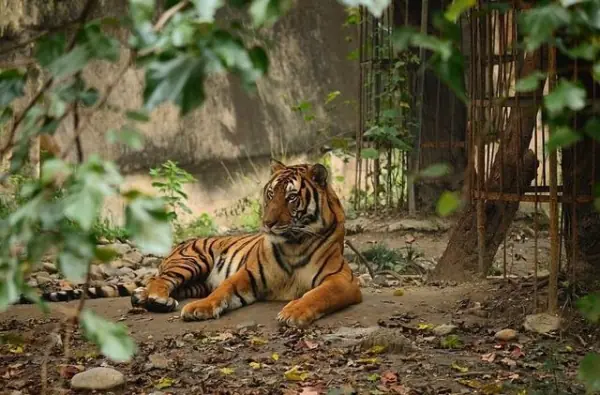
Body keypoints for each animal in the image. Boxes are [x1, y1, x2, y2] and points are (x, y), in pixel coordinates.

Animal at [127, 159, 360, 328]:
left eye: (292, 197)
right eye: (270, 194)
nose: (267, 223)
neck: (294, 244)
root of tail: (178, 245)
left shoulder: (343, 280)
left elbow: (318, 295)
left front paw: (294, 312)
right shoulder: (249, 273)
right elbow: (224, 288)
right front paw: (199, 308)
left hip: (196, 283)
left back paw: (145, 298)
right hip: (192, 260)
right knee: (160, 279)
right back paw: (157, 298)